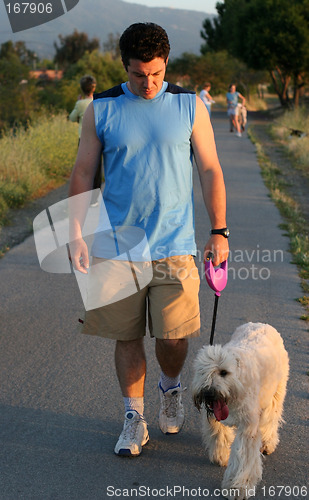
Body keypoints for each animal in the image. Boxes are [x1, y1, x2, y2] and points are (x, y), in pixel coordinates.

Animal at [191, 322, 288, 498]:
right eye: (202, 372)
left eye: (223, 372)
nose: (209, 393)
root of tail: (262, 324)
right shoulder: (216, 417)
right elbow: (219, 434)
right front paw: (221, 456)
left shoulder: (247, 427)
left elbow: (244, 457)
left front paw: (237, 487)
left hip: (275, 394)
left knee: (271, 419)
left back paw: (267, 443)